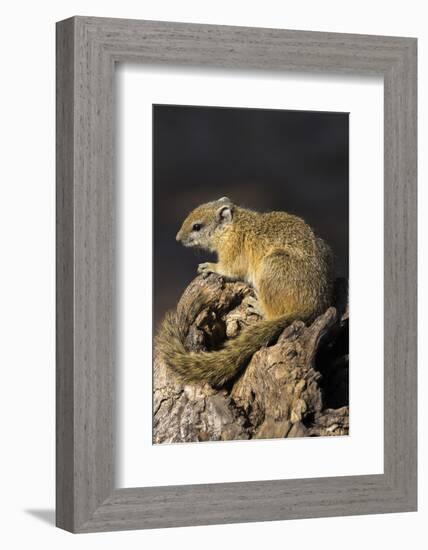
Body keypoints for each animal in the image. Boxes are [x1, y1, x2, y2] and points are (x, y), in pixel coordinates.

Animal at [155, 198, 332, 388]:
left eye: (197, 226)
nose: (177, 238)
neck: (233, 226)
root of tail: (312, 308)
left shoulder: (233, 253)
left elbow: (228, 269)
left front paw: (210, 266)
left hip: (271, 266)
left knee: (272, 314)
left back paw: (257, 305)